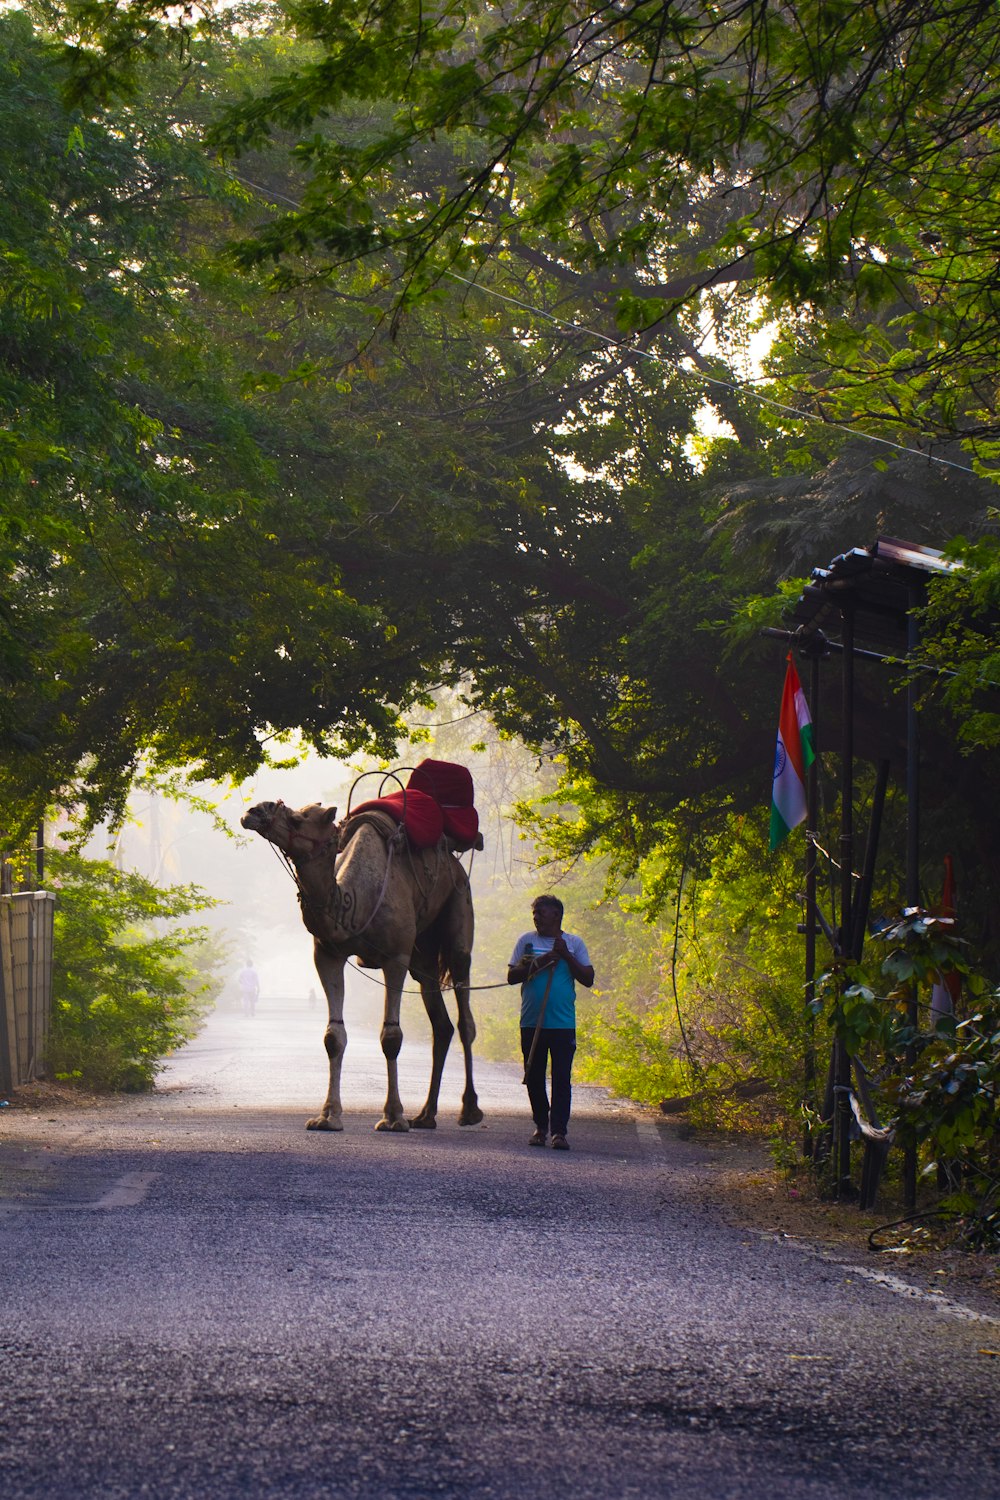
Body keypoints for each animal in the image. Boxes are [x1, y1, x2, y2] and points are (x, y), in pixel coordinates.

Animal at [238, 804, 479, 1128]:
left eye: (298, 818)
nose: (252, 811)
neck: (356, 901)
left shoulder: (396, 956)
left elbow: (391, 1036)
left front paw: (393, 1117)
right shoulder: (327, 953)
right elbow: (333, 1036)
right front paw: (327, 1116)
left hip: (459, 902)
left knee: (464, 1009)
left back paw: (469, 1110)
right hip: (424, 958)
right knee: (441, 1023)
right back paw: (425, 1115)